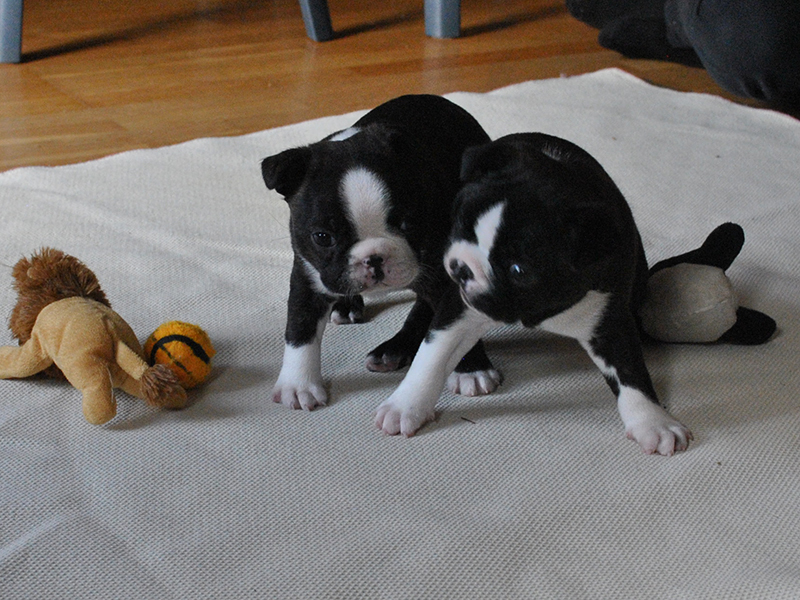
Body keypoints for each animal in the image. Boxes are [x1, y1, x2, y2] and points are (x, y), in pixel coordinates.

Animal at [261, 95, 502, 411]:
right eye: (323, 237)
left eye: (409, 223)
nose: (373, 258)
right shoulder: (308, 272)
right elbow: (300, 326)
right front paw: (298, 384)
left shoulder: (449, 275)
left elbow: (452, 325)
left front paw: (472, 369)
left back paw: (394, 349)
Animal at [375, 133, 693, 456]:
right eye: (461, 223)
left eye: (518, 270)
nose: (463, 268)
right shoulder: (459, 304)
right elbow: (432, 355)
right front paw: (406, 405)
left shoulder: (610, 316)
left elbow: (631, 371)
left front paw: (653, 422)